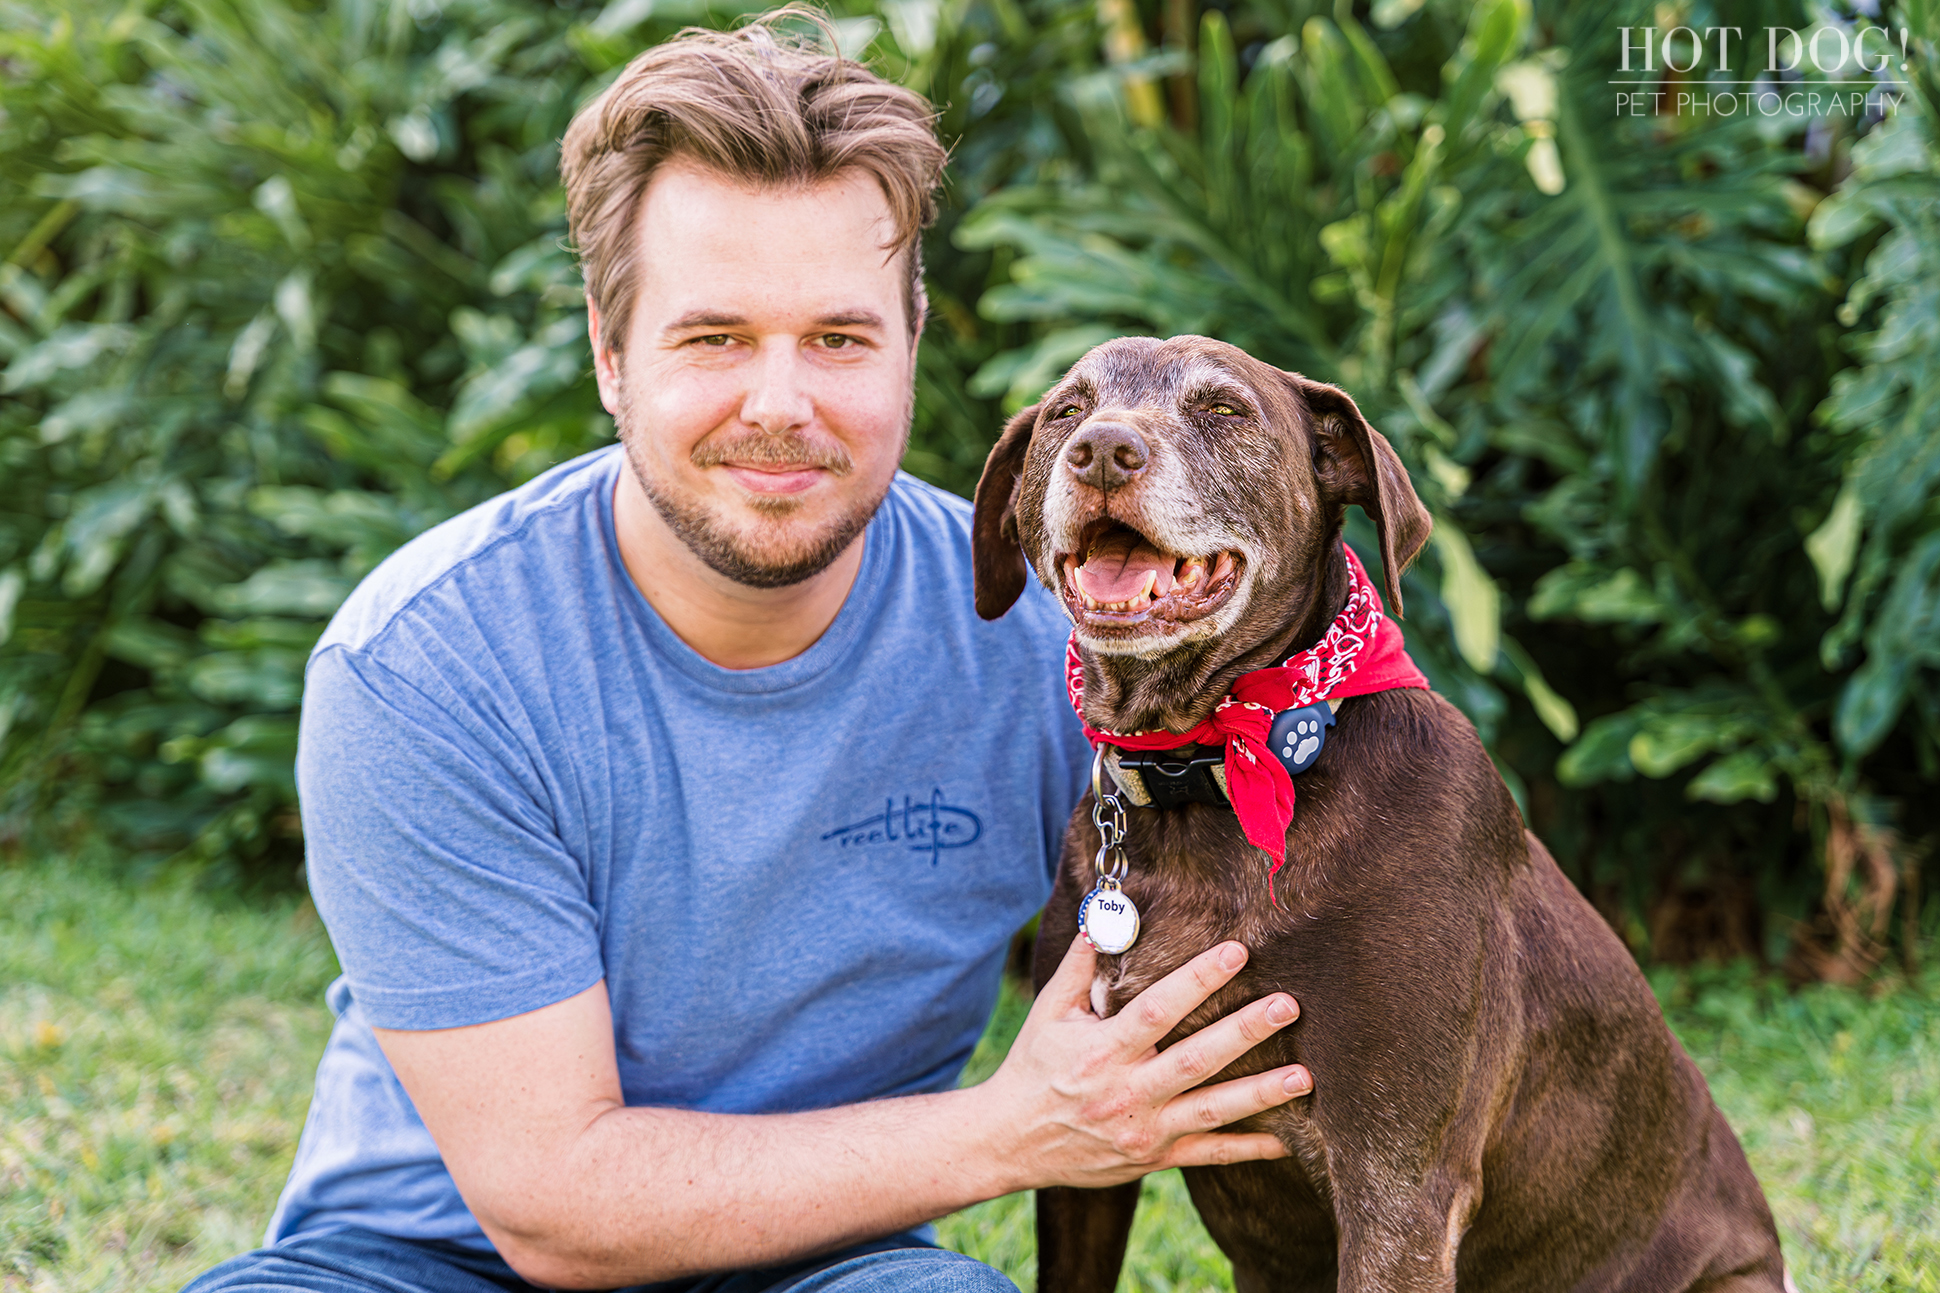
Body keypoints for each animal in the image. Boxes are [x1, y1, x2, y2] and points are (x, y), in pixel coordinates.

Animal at [970, 333, 1784, 1289]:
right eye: (1067, 408)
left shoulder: (1396, 1184)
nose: (1101, 450)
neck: (1212, 767)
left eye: (1224, 409)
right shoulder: (1083, 1138)